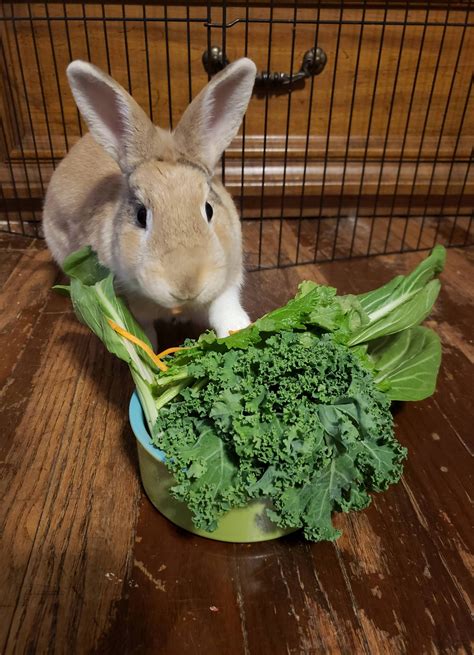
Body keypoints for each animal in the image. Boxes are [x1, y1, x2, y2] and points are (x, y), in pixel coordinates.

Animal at [43, 57, 257, 348]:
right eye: (141, 215)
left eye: (209, 209)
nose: (186, 286)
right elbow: (143, 333)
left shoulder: (228, 279)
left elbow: (226, 309)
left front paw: (239, 330)